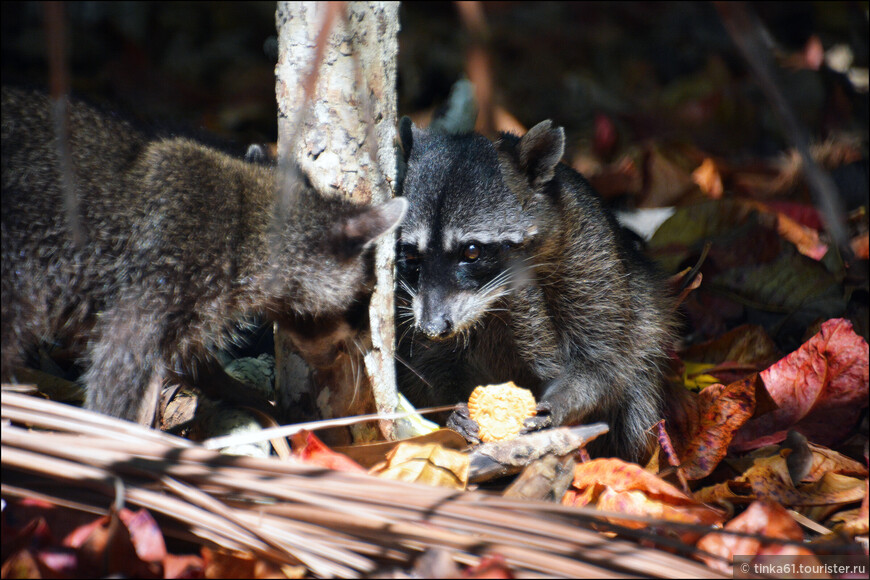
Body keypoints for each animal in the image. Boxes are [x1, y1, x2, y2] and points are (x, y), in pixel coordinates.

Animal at [0, 87, 408, 422]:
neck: (253, 219)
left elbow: (185, 359)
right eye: (361, 300)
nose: (365, 340)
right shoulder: (166, 272)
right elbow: (118, 362)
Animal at [398, 119, 676, 462]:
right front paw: (449, 405)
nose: (432, 328)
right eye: (412, 256)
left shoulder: (590, 260)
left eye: (472, 252)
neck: (495, 301)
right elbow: (424, 367)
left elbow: (603, 362)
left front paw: (560, 402)